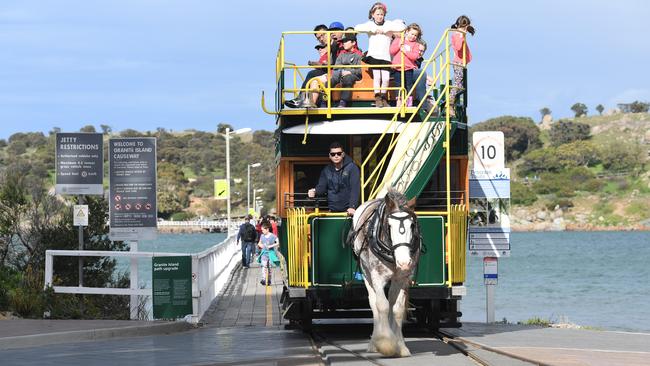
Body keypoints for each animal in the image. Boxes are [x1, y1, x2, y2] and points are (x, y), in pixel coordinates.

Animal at [350, 189, 420, 358]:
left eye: (412, 225)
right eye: (389, 225)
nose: (404, 262)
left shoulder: (402, 278)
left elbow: (397, 310)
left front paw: (400, 346)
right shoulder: (377, 277)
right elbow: (381, 305)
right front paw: (385, 343)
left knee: (392, 303)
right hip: (366, 273)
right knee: (374, 302)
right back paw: (374, 343)